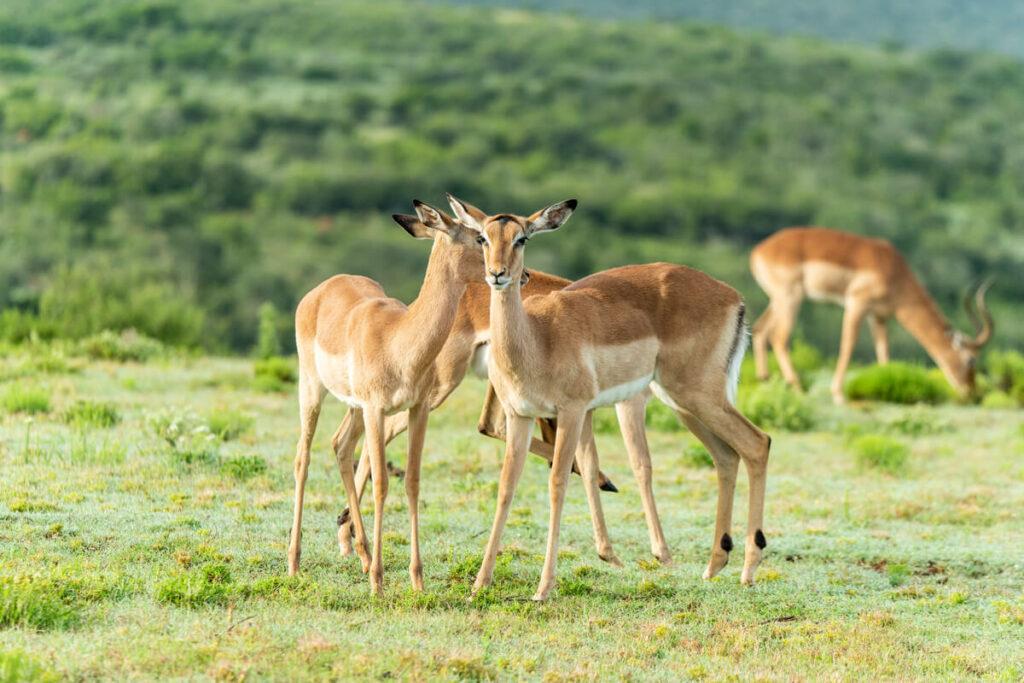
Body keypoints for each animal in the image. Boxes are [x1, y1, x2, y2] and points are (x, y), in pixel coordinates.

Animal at [447, 195, 771, 600]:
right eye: (483, 238)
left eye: (522, 238)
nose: (498, 274)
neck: (538, 339)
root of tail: (733, 297)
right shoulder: (520, 416)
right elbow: (507, 487)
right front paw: (480, 583)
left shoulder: (571, 412)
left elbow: (558, 483)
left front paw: (544, 588)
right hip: (684, 403)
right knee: (728, 456)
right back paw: (714, 566)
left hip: (698, 396)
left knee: (757, 443)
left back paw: (748, 568)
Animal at [750, 227, 994, 404]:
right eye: (971, 359)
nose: (974, 394)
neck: (895, 272)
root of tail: (758, 251)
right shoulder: (857, 304)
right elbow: (848, 345)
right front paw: (839, 395)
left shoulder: (879, 317)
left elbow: (883, 352)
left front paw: (887, 384)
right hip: (790, 298)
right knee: (779, 337)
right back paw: (798, 388)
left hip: (778, 300)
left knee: (760, 330)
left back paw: (764, 382)